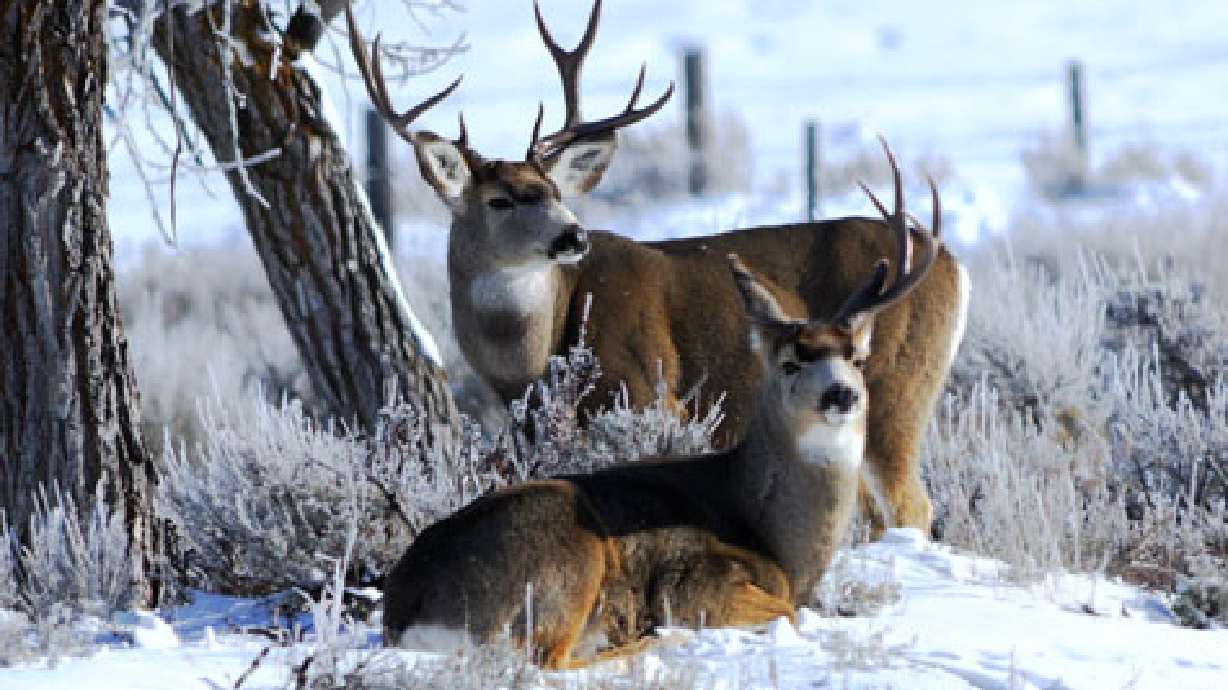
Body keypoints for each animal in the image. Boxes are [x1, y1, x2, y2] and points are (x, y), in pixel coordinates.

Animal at [345, 0, 969, 536]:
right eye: (500, 200)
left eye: (552, 191)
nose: (573, 235)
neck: (531, 360)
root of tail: (949, 262)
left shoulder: (654, 398)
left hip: (893, 391)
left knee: (910, 504)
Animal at [380, 181, 943, 667]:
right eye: (789, 363)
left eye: (857, 359)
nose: (841, 394)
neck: (778, 536)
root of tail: (405, 612)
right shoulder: (694, 581)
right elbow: (785, 610)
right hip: (566, 559)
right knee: (546, 660)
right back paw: (648, 639)